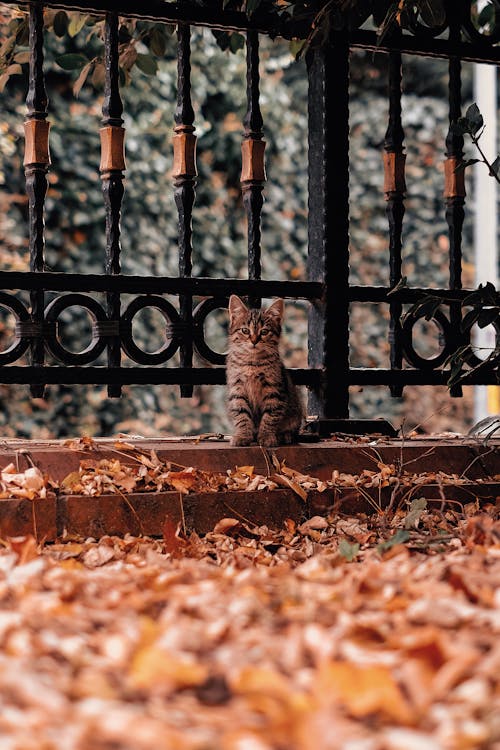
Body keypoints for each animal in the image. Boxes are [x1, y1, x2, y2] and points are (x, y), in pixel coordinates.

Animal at [228, 294, 304, 446]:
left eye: (264, 331)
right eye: (245, 330)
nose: (254, 341)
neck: (251, 362)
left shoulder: (274, 390)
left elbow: (270, 415)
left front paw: (266, 436)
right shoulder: (237, 388)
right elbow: (241, 414)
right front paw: (242, 435)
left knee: (291, 431)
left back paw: (283, 436)